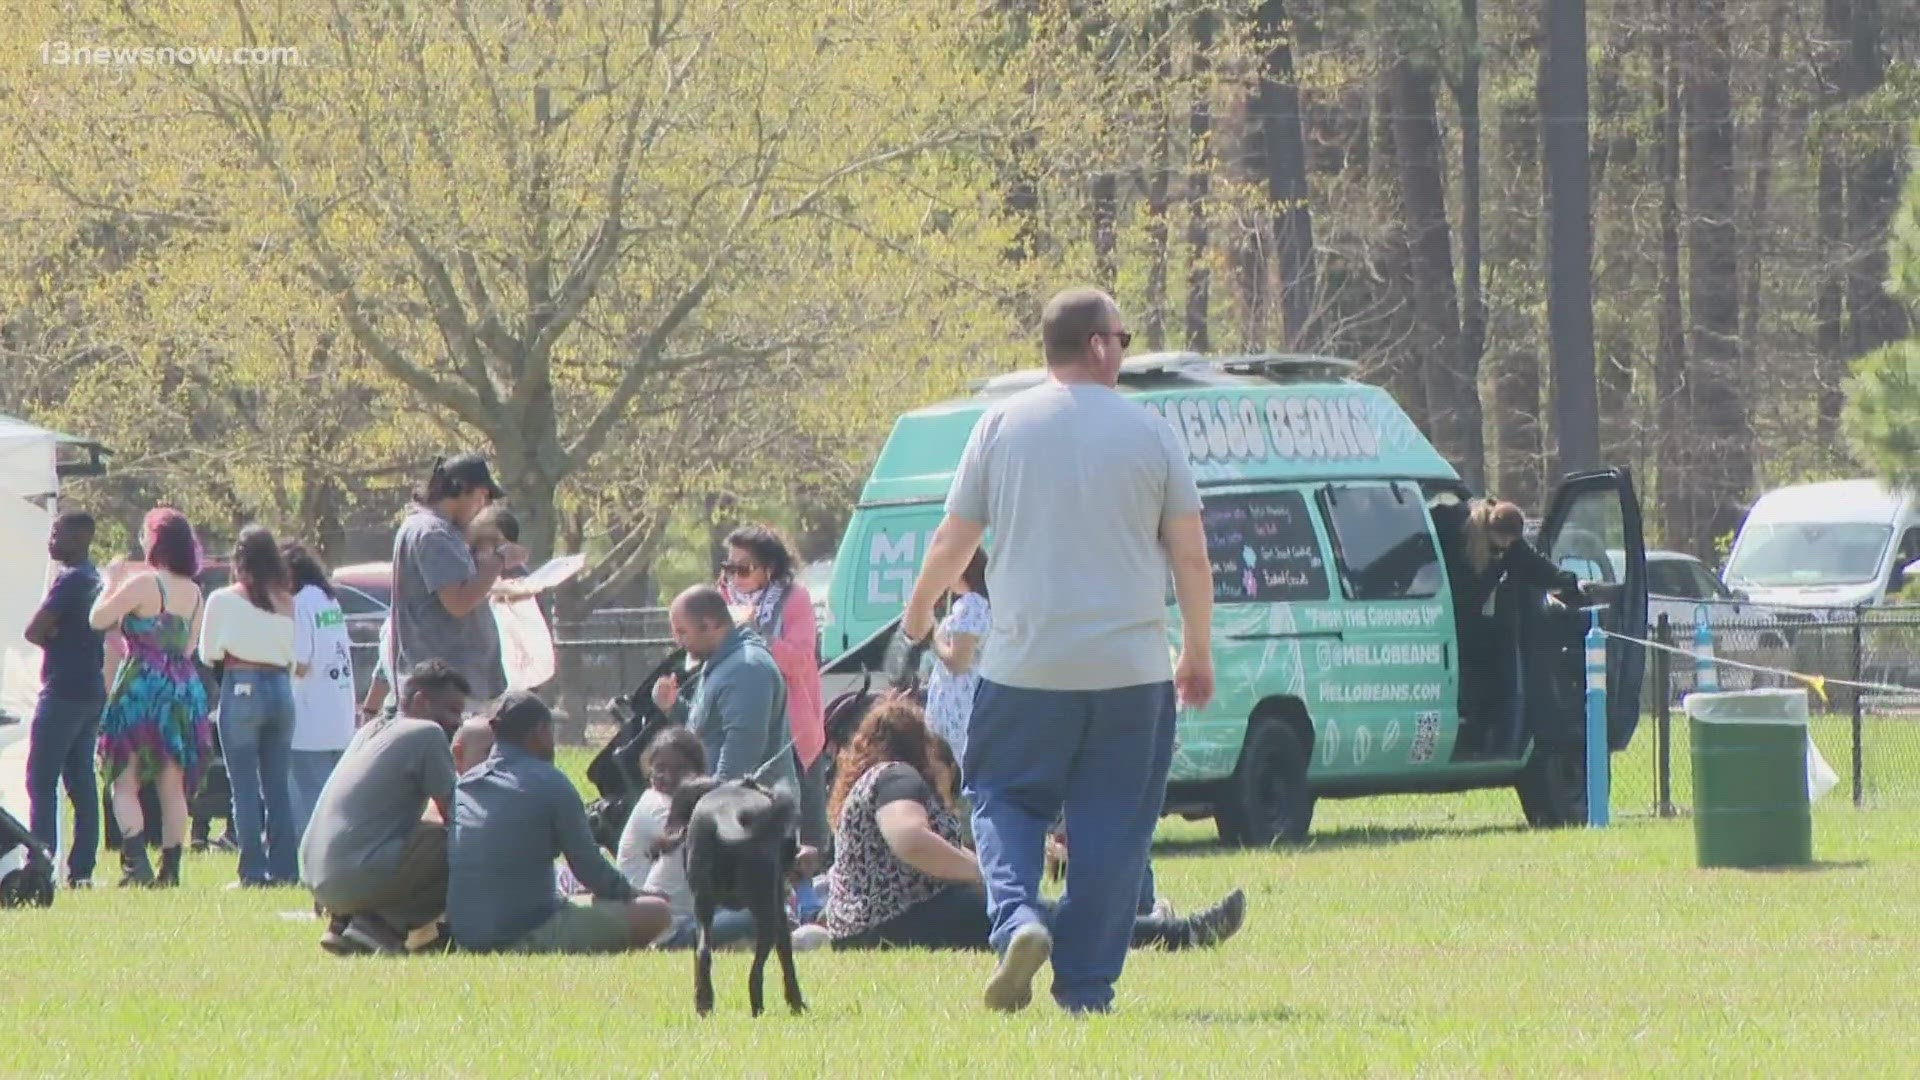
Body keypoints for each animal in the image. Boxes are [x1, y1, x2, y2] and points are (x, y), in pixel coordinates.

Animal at [660, 776, 802, 1014]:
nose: (797, 848)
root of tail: (725, 816)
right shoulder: (779, 905)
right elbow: (786, 953)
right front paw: (797, 1004)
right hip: (765, 911)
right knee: (756, 971)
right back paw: (757, 1008)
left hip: (703, 906)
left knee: (703, 953)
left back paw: (704, 1005)